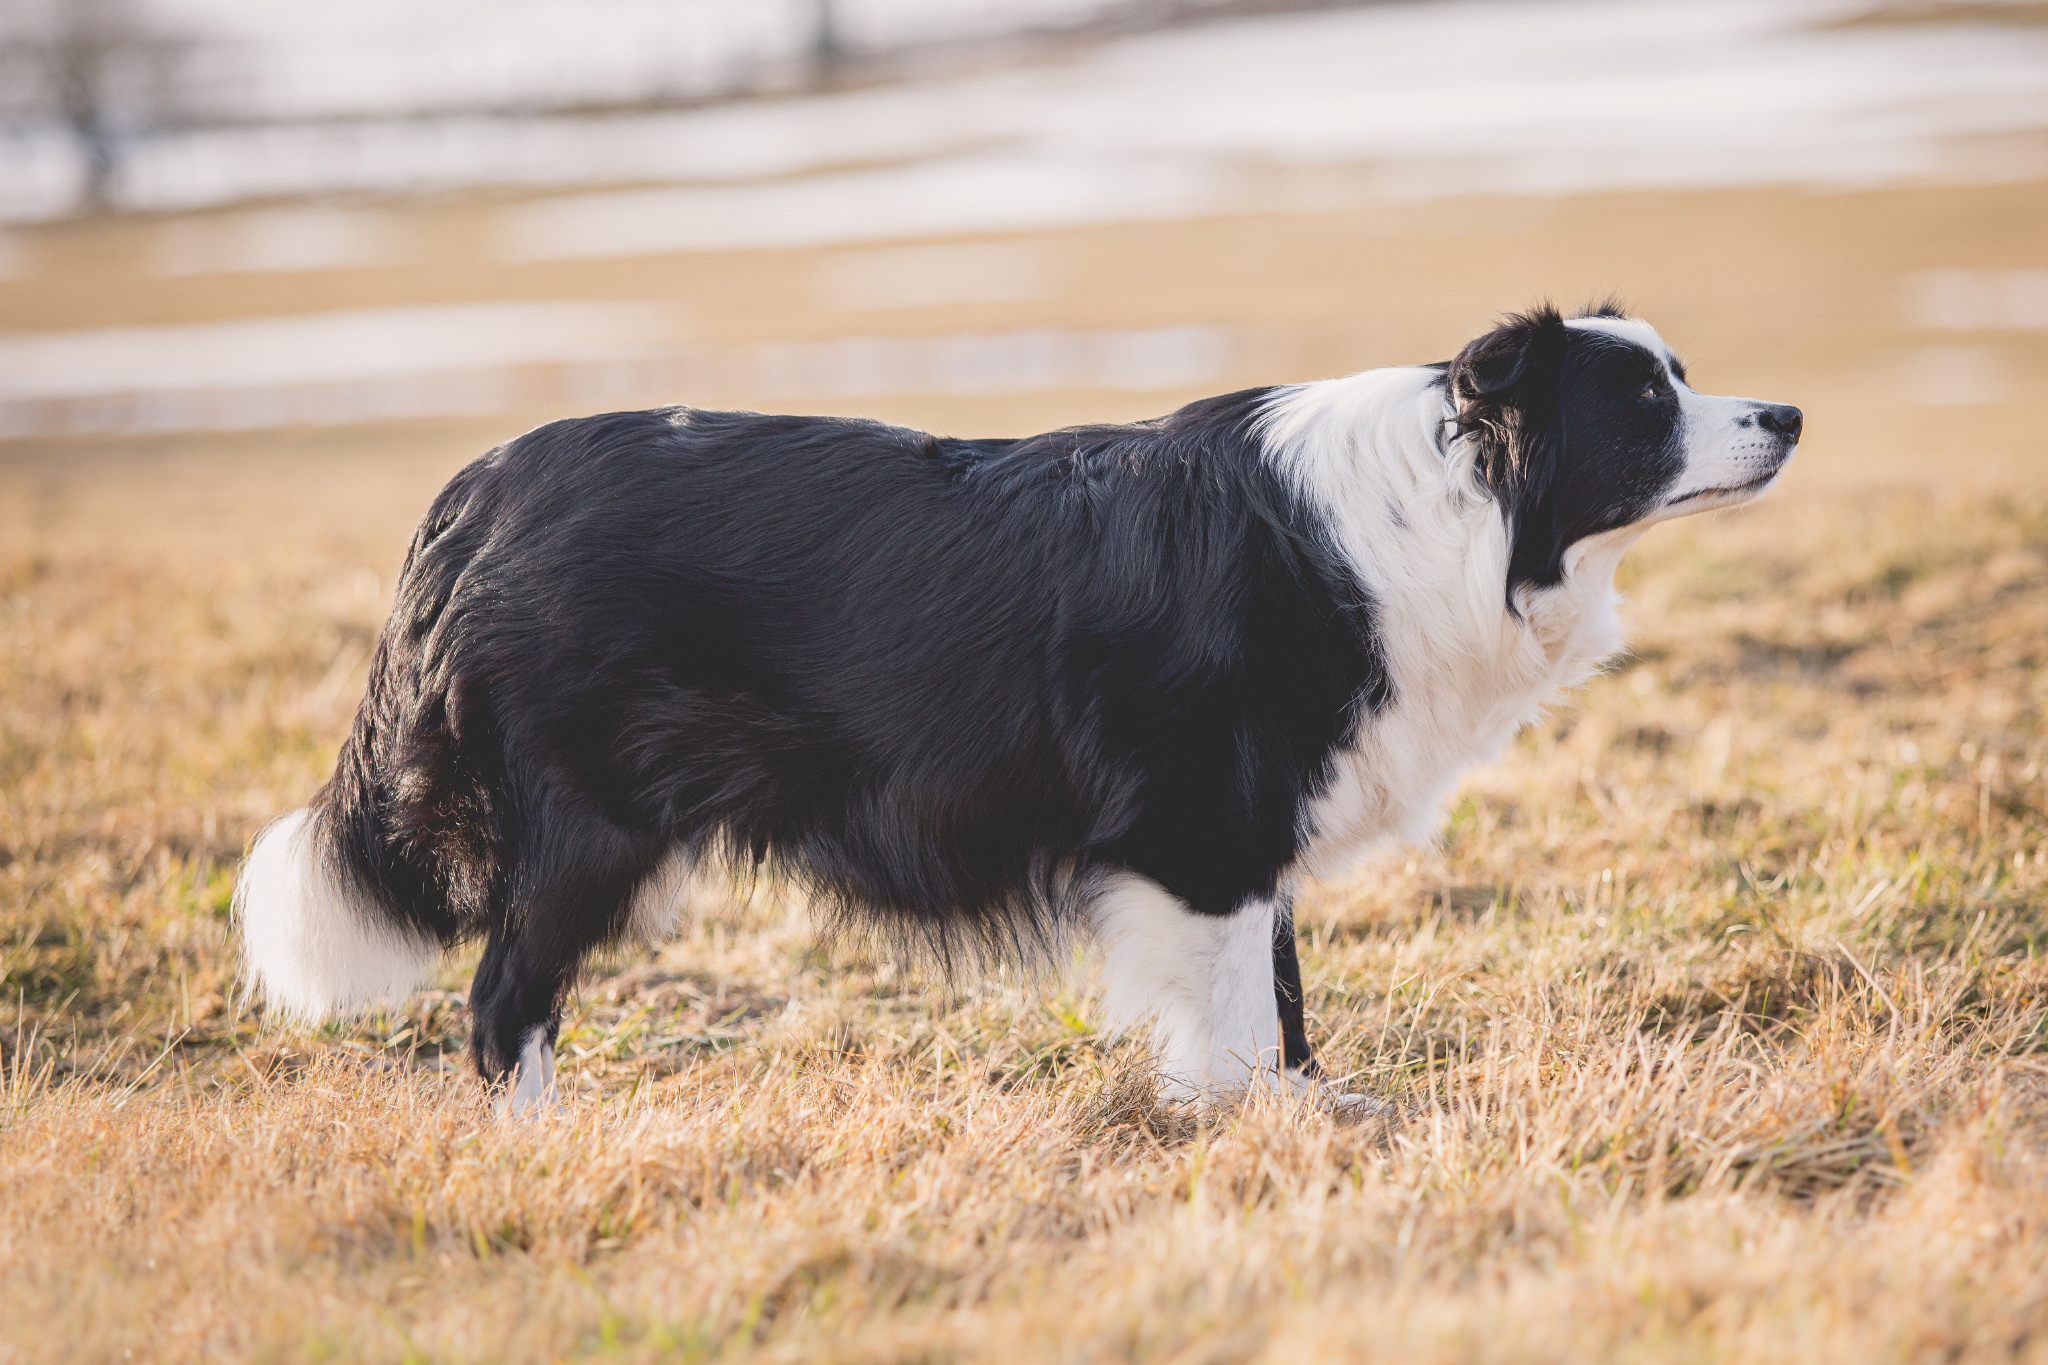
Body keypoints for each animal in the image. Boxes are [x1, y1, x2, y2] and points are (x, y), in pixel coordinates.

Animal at [239, 306, 1802, 1113]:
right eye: (1642, 396)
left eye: (1679, 371)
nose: (1786, 415)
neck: (1455, 508)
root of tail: (473, 493)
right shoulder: (1202, 825)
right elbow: (1236, 1013)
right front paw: (1245, 1133)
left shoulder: (1254, 833)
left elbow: (1282, 997)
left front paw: (1306, 1119)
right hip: (587, 826)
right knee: (504, 1000)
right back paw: (538, 1142)